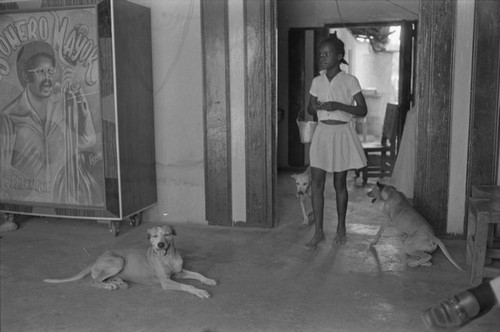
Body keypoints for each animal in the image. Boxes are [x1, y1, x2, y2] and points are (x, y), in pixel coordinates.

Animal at [43, 226, 215, 298]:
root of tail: (96, 259)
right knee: (94, 281)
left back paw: (118, 282)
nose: (160, 245)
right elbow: (188, 286)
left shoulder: (178, 273)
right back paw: (110, 285)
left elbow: (197, 274)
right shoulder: (166, 282)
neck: (168, 256)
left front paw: (208, 280)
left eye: (167, 234)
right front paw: (200, 291)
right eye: (154, 236)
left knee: (103, 278)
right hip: (118, 260)